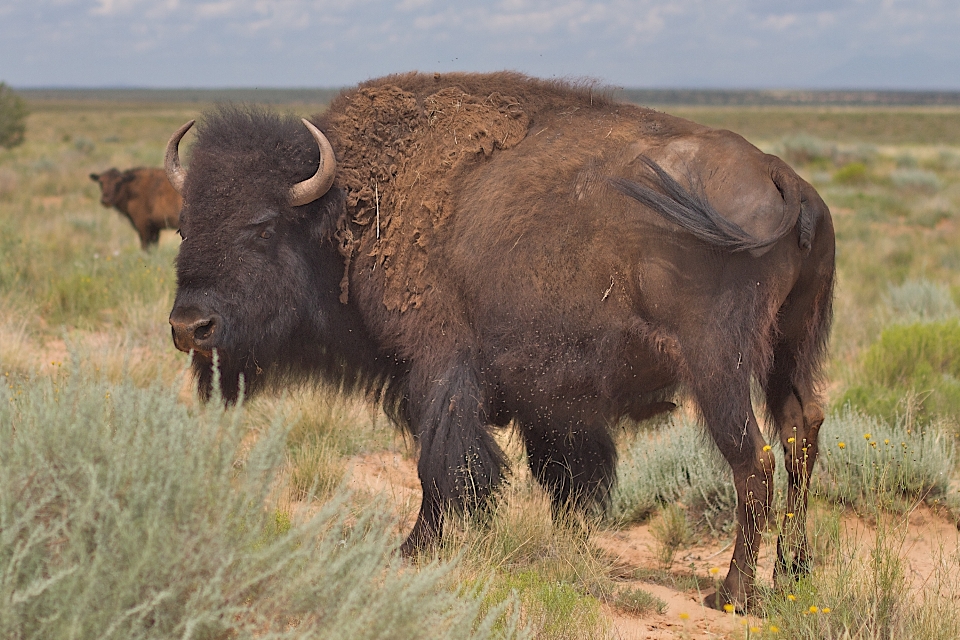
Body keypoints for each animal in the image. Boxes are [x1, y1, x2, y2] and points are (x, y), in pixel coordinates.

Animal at [163, 70, 832, 608]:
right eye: (183, 225)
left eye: (262, 226)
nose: (190, 327)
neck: (350, 208)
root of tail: (784, 179)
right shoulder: (552, 405)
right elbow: (565, 477)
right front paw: (564, 545)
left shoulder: (436, 374)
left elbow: (442, 469)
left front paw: (414, 549)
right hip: (790, 353)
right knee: (800, 437)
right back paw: (793, 574)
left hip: (719, 369)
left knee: (754, 462)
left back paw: (734, 595)